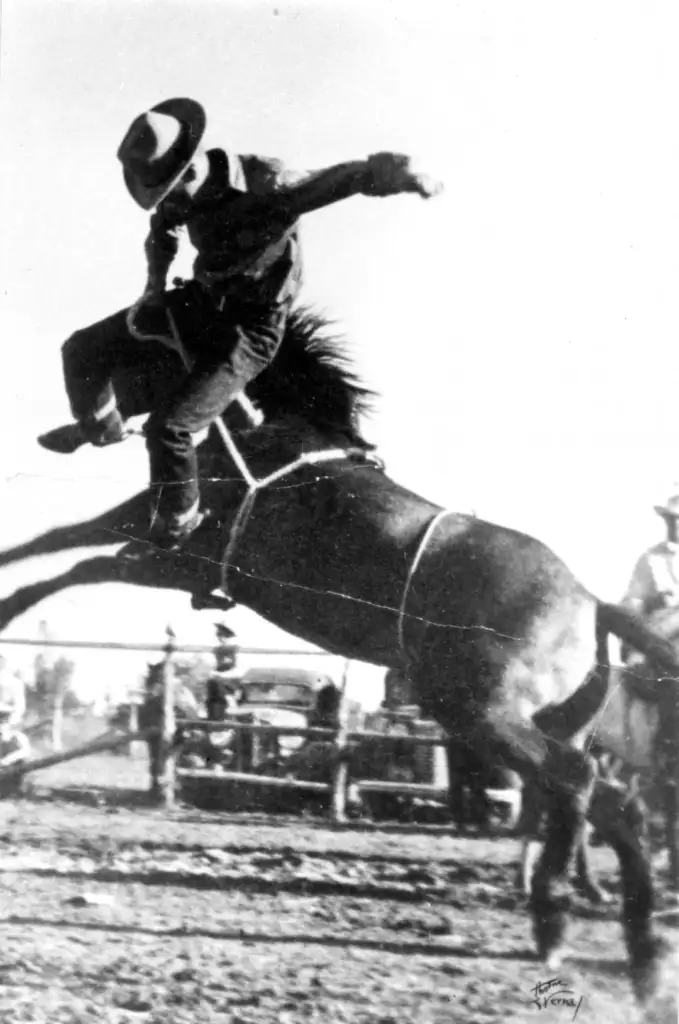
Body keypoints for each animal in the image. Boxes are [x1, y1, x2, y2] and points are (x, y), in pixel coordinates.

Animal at [1, 309, 679, 999]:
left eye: (134, 337)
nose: (78, 423)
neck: (264, 430)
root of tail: (592, 603)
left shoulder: (181, 549)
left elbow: (79, 553)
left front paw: (8, 601)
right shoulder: (172, 544)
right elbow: (72, 543)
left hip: (484, 714)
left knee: (582, 786)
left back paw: (586, 930)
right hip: (552, 721)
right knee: (596, 803)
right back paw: (616, 942)